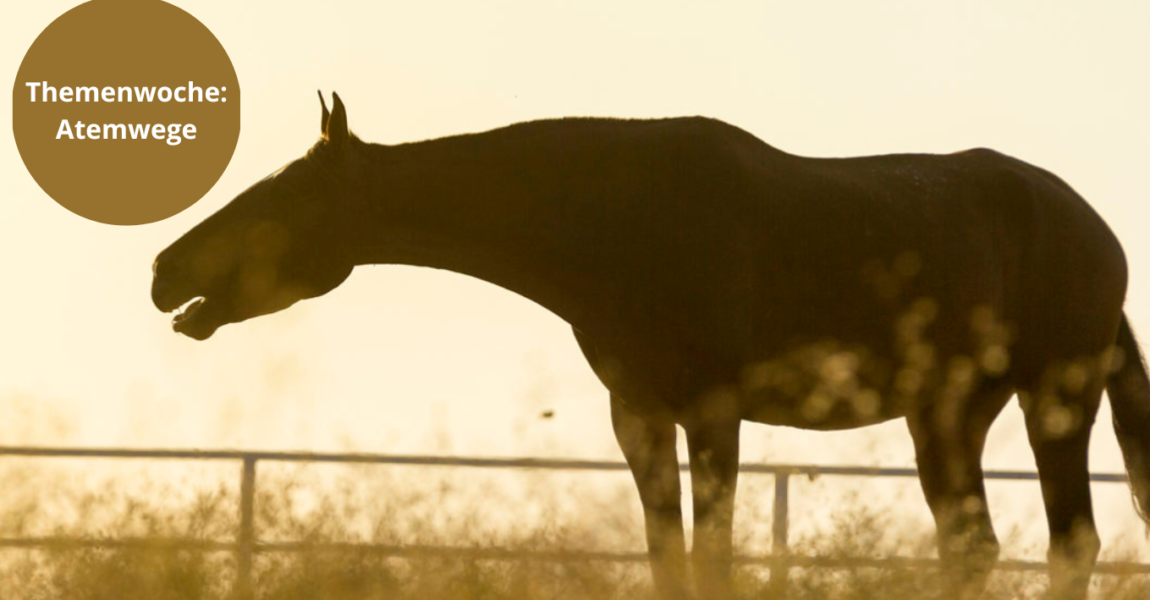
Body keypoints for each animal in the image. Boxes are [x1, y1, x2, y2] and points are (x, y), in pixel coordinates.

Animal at [152, 90, 1150, 593]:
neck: (620, 221)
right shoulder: (638, 415)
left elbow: (713, 558)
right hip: (947, 415)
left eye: (279, 201)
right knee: (972, 546)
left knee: (1070, 542)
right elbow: (669, 558)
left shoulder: (713, 410)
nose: (164, 270)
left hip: (1053, 396)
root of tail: (1095, 231)